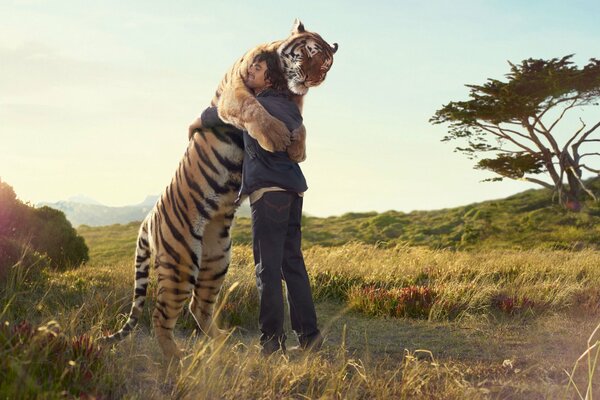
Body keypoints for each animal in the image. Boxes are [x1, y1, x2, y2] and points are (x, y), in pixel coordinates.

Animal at [102, 19, 338, 360]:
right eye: (310, 52)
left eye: (327, 64)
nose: (314, 78)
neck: (282, 83)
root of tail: (147, 219)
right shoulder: (235, 93)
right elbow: (253, 108)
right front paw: (277, 137)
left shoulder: (295, 104)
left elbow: (301, 124)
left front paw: (296, 148)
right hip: (182, 262)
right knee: (162, 314)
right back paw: (178, 358)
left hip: (216, 259)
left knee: (197, 306)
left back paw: (223, 344)